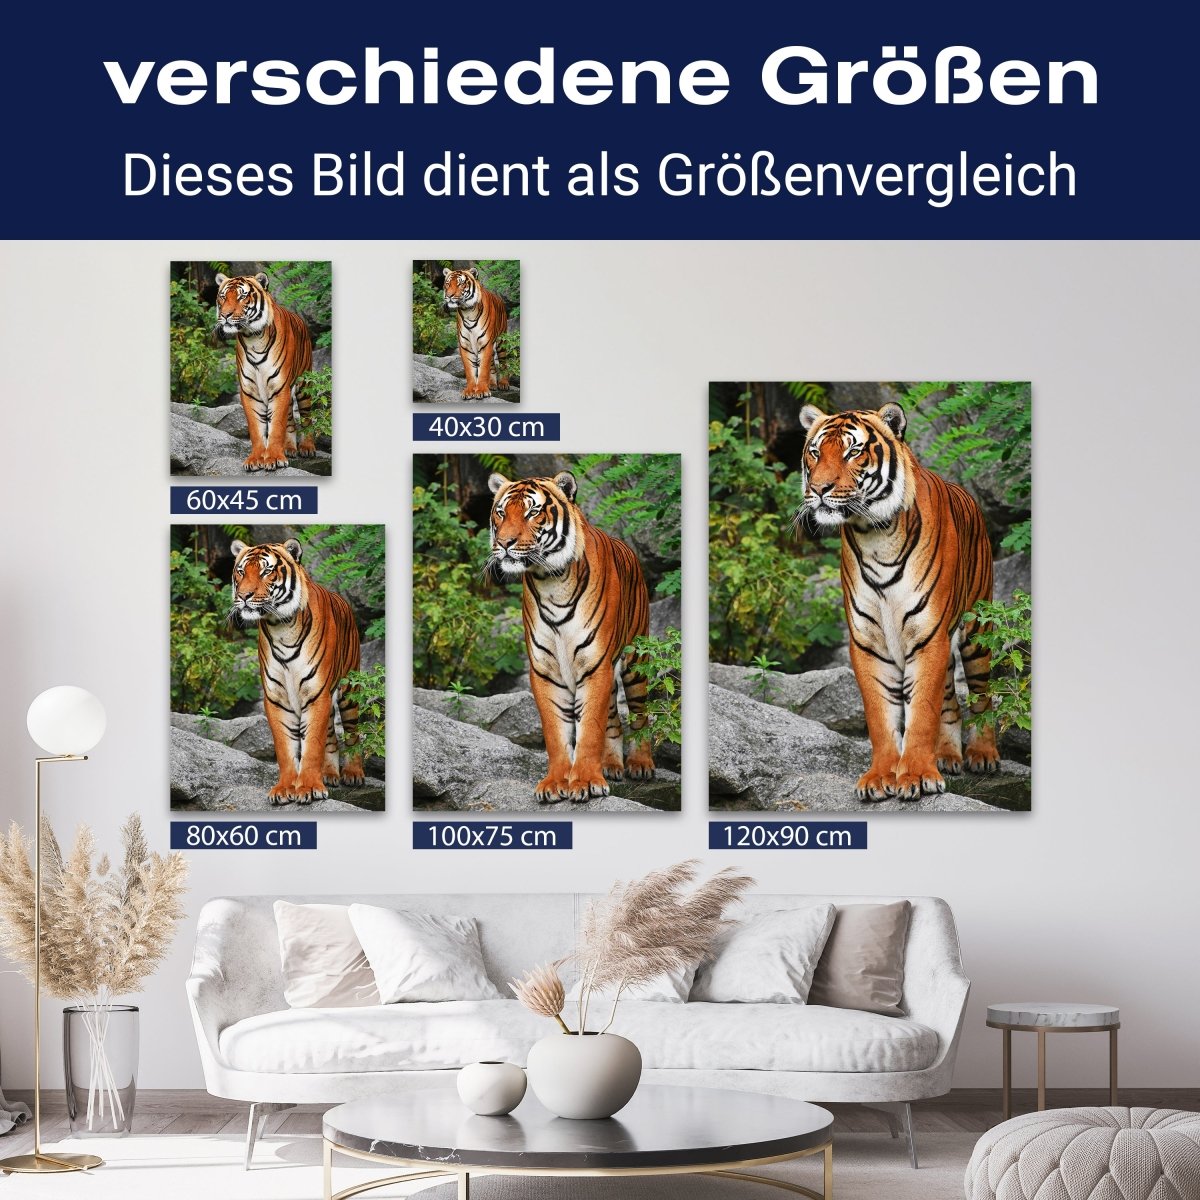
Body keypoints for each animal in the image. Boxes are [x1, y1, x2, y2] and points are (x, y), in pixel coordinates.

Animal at [213, 272, 315, 472]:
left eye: (242, 296)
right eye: (223, 296)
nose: (225, 315)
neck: (252, 338)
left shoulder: (279, 388)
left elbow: (275, 427)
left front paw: (274, 458)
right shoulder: (249, 391)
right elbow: (256, 428)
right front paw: (256, 459)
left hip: (304, 385)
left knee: (307, 416)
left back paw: (307, 448)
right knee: (290, 419)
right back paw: (289, 448)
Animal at [228, 538, 364, 804]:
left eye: (266, 571)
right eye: (240, 571)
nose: (244, 596)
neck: (280, 627)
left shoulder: (316, 694)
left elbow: (311, 745)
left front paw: (309, 787)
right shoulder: (277, 698)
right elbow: (285, 747)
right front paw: (285, 789)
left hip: (348, 690)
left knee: (353, 731)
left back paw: (353, 773)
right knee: (331, 734)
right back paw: (330, 773)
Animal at [442, 267, 510, 399]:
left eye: (460, 283)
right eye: (447, 283)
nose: (449, 296)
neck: (467, 311)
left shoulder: (486, 344)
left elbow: (483, 369)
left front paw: (482, 390)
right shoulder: (465, 346)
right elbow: (470, 371)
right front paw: (469, 391)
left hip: (501, 342)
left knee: (503, 362)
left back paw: (503, 384)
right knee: (492, 365)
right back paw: (492, 384)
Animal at [486, 470, 655, 803]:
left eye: (532, 512)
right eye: (501, 512)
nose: (504, 543)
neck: (550, 581)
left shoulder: (595, 665)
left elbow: (588, 729)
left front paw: (586, 782)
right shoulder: (545, 670)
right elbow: (556, 731)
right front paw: (555, 783)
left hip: (634, 662)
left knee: (640, 712)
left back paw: (640, 764)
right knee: (613, 717)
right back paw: (611, 764)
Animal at [798, 401, 1002, 802]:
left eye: (853, 451)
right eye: (815, 452)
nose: (819, 488)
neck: (874, 535)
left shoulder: (929, 635)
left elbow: (920, 712)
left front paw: (917, 776)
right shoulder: (868, 642)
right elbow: (881, 716)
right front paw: (880, 777)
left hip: (976, 632)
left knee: (981, 694)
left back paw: (982, 755)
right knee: (950, 699)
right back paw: (948, 756)